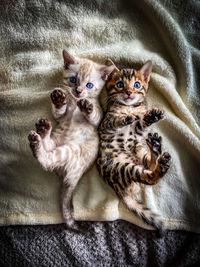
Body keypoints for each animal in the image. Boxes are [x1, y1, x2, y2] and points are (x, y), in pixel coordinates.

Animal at [27, 50, 114, 232]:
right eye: (73, 80)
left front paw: (87, 106)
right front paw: (59, 99)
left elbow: (94, 115)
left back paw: (37, 141)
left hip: (69, 150)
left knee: (47, 161)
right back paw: (43, 129)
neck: (74, 103)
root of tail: (73, 178)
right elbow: (58, 112)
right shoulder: (60, 118)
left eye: (89, 85)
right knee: (47, 148)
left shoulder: (99, 119)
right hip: (56, 141)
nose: (79, 91)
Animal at [96, 60, 170, 234]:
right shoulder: (105, 125)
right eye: (120, 84)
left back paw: (155, 147)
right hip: (122, 168)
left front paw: (151, 116)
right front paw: (127, 117)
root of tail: (120, 191)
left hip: (139, 151)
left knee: (149, 165)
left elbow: (141, 124)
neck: (129, 106)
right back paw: (160, 165)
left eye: (137, 85)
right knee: (149, 177)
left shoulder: (137, 133)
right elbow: (117, 121)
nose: (129, 92)